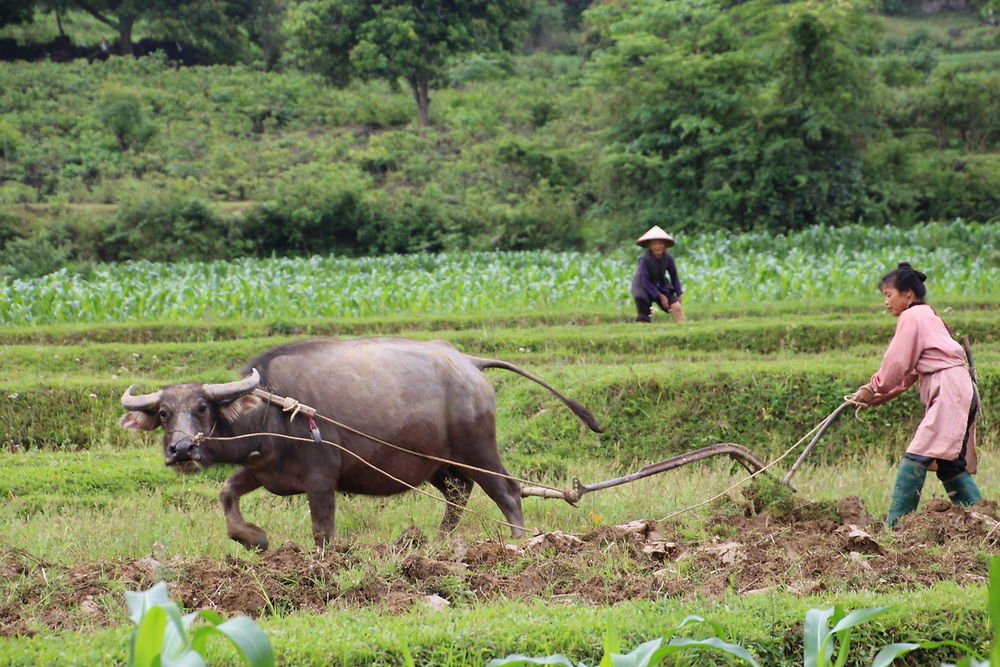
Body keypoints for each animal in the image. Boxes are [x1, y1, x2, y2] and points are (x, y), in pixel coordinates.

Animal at [119, 336, 600, 552]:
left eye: (202, 408)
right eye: (163, 414)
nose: (182, 451)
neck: (270, 410)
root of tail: (467, 361)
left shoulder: (320, 478)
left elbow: (322, 530)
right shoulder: (262, 468)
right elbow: (227, 492)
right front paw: (253, 538)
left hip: (477, 448)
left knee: (508, 491)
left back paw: (519, 543)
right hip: (440, 463)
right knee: (458, 495)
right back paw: (436, 544)